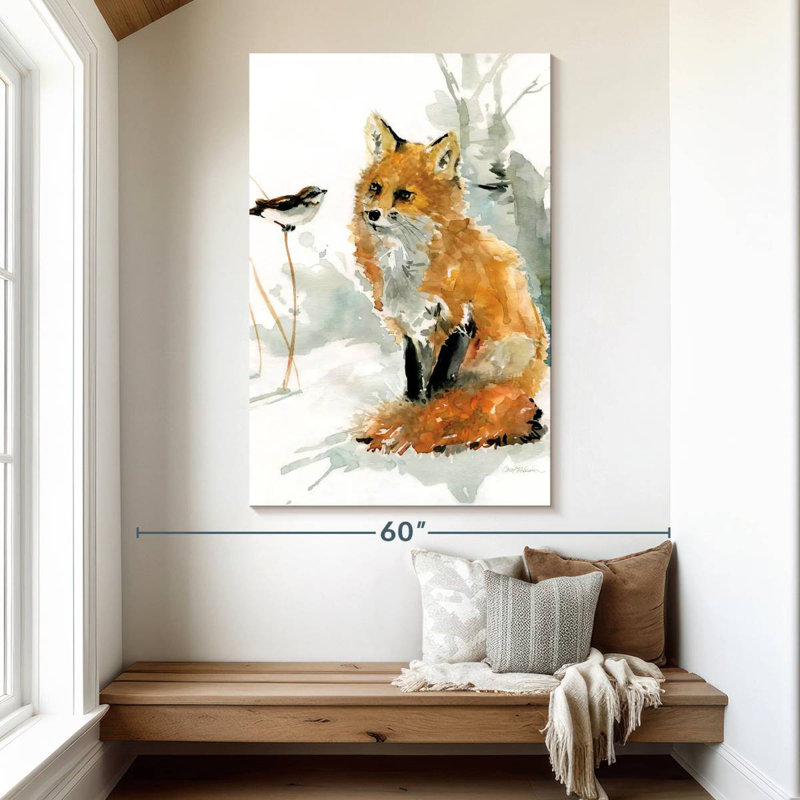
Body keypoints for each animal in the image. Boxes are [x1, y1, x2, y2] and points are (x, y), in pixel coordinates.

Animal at [351, 113, 548, 455]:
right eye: (375, 187)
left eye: (404, 195)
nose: (372, 213)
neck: (406, 266)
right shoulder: (412, 329)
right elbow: (416, 383)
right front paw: (415, 411)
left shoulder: (460, 320)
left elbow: (439, 385)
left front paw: (427, 419)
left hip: (507, 351)